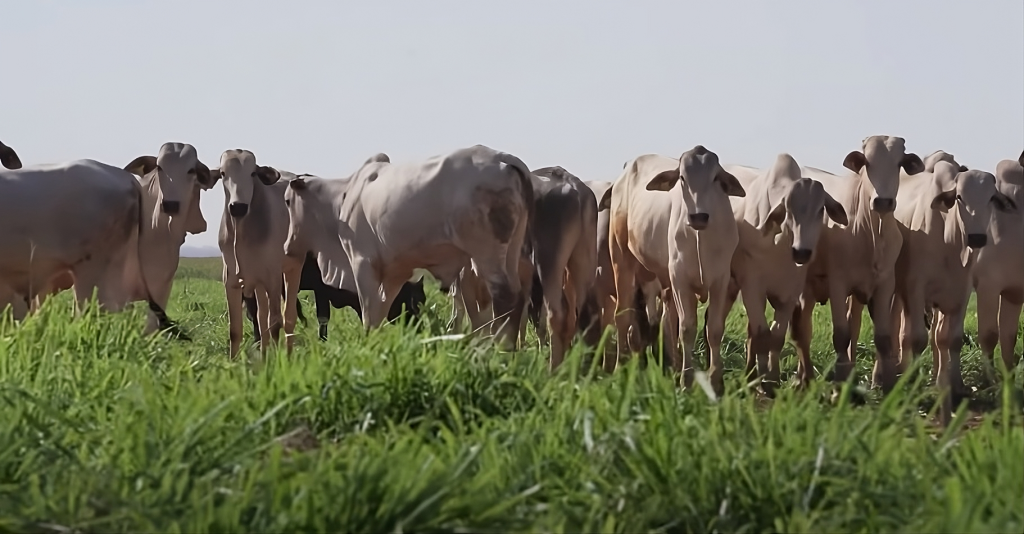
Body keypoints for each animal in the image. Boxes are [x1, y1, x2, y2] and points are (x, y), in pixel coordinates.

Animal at [282, 143, 532, 348]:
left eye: (287, 201)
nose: (287, 247)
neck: (343, 198)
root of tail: (501, 158)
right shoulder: (395, 273)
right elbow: (380, 311)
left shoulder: (362, 263)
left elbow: (369, 313)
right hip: (509, 252)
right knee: (517, 297)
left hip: (486, 254)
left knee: (503, 296)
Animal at [720, 151, 847, 393]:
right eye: (788, 209)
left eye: (821, 210)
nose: (801, 252)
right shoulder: (752, 287)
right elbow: (762, 335)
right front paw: (761, 382)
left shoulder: (790, 293)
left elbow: (776, 336)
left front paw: (772, 379)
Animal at [786, 135, 925, 389]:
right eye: (867, 162)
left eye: (899, 163)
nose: (883, 201)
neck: (872, 235)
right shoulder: (838, 284)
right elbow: (840, 335)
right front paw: (840, 381)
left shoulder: (884, 285)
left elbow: (882, 337)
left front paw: (886, 383)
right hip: (805, 289)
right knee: (803, 331)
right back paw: (804, 378)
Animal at [892, 159, 1011, 418]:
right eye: (959, 197)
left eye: (991, 198)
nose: (976, 238)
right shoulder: (915, 288)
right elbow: (916, 338)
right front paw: (916, 383)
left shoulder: (961, 293)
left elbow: (950, 340)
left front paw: (952, 386)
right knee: (903, 333)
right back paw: (901, 371)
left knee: (936, 337)